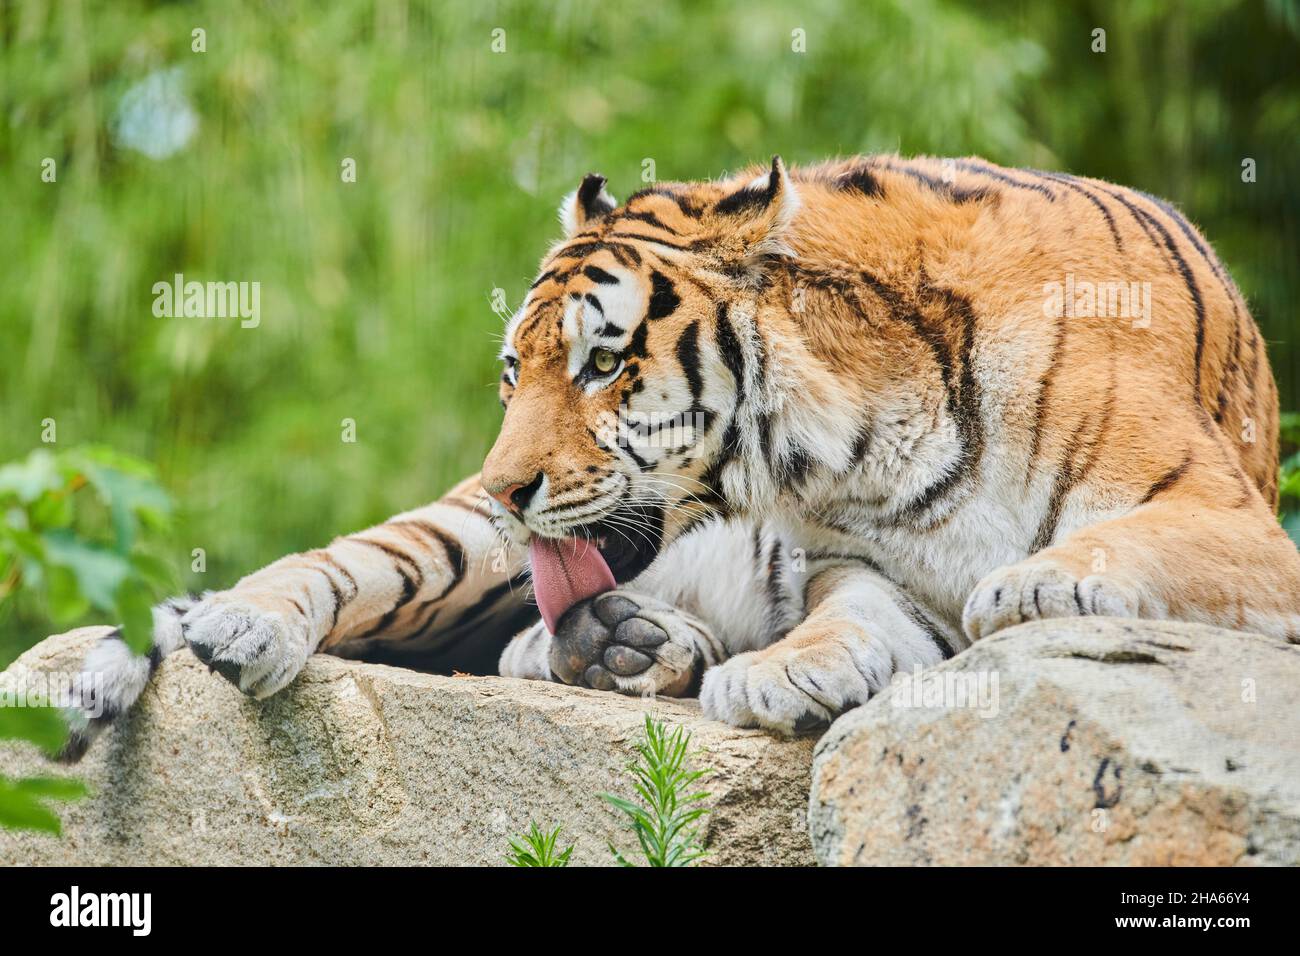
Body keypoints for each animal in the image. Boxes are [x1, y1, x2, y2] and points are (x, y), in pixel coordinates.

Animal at [58, 153, 1300, 759]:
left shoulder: (1236, 518)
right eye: (514, 373)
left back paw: (627, 644)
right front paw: (789, 668)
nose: (510, 486)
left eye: (603, 364)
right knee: (347, 571)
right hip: (451, 544)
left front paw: (1027, 581)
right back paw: (249, 624)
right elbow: (848, 614)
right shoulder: (868, 564)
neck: (864, 441)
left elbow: (1113, 545)